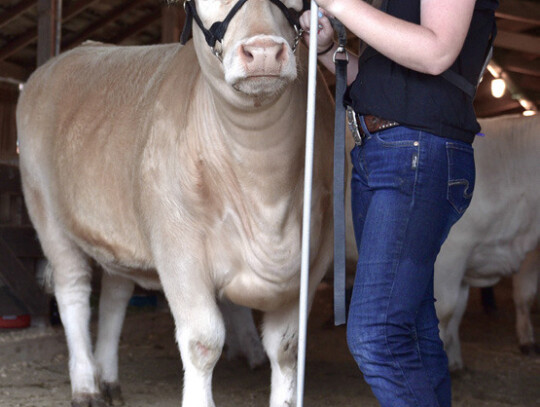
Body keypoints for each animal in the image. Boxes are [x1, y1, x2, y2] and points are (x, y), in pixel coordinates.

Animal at [15, 1, 338, 406]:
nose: (263, 51)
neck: (265, 193)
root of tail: (62, 59)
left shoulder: (315, 256)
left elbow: (287, 347)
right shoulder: (178, 248)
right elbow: (203, 342)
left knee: (115, 296)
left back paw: (108, 378)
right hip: (45, 212)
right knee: (73, 290)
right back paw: (86, 384)